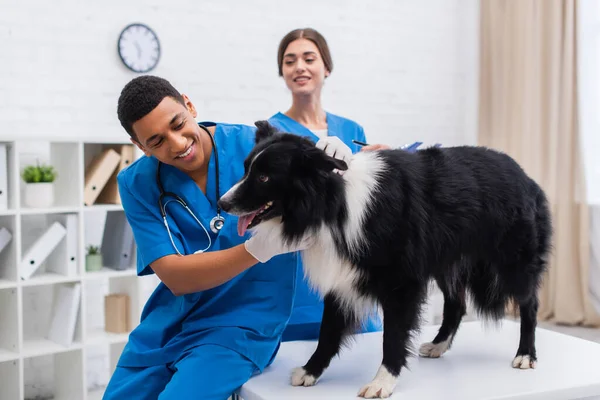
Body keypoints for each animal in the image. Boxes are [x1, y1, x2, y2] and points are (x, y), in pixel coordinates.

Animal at [217, 121, 552, 396]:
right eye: (246, 169)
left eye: (263, 177)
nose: (222, 203)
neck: (333, 202)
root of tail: (526, 176)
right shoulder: (342, 274)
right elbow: (328, 330)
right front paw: (311, 371)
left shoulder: (401, 282)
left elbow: (392, 335)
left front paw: (383, 381)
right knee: (457, 305)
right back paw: (439, 344)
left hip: (514, 259)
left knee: (529, 303)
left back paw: (526, 354)